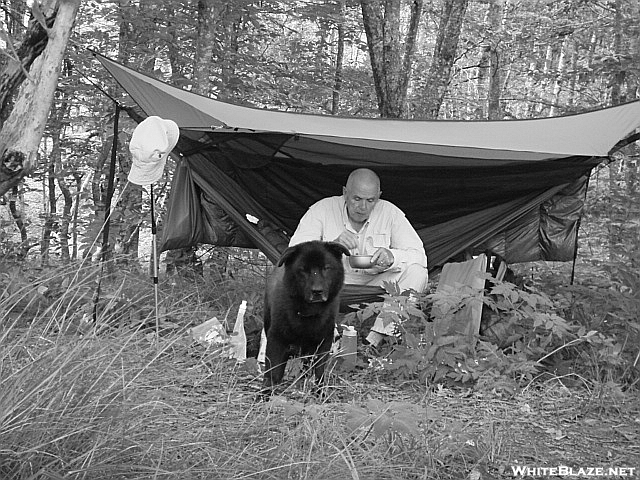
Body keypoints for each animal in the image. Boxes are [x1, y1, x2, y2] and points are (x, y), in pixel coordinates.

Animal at [262, 242, 350, 392]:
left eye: (326, 267)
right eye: (303, 270)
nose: (317, 291)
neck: (308, 312)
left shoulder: (323, 343)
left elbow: (319, 373)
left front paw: (319, 393)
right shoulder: (276, 341)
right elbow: (272, 373)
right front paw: (266, 393)